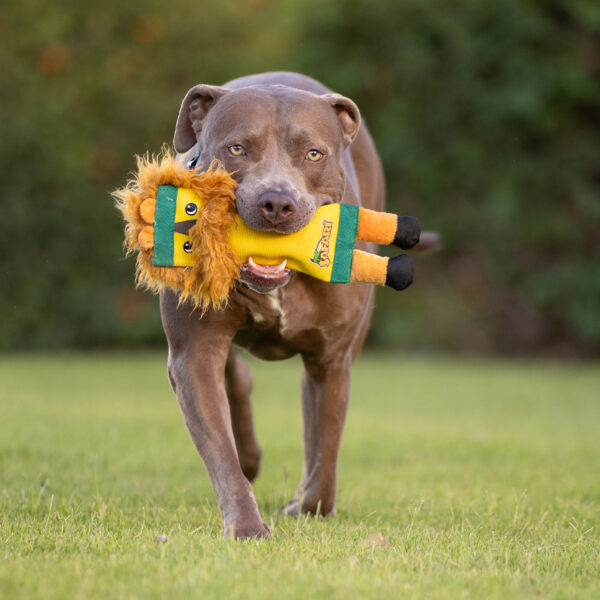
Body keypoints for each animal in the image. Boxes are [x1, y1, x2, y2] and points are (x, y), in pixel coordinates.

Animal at [159, 70, 426, 540]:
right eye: (237, 148)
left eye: (313, 154)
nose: (277, 201)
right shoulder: (193, 352)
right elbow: (219, 450)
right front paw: (247, 527)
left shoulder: (332, 359)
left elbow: (326, 449)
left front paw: (308, 507)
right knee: (238, 378)